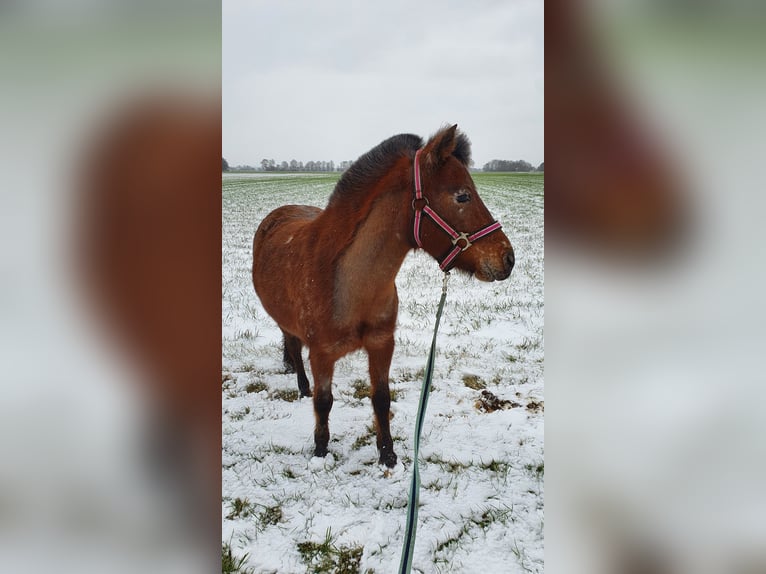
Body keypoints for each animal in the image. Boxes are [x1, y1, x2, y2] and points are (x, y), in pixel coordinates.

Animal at [254, 125, 516, 468]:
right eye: (462, 196)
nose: (508, 259)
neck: (349, 284)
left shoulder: (381, 344)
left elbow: (381, 398)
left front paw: (388, 454)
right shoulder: (322, 354)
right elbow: (324, 402)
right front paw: (321, 452)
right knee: (294, 350)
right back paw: (301, 387)